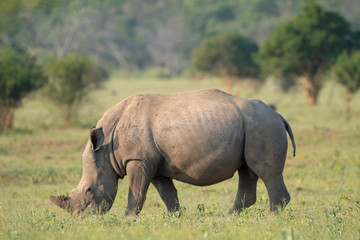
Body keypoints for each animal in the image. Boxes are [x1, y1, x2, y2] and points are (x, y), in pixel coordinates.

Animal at [50, 88, 296, 216]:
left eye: (89, 190)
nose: (81, 218)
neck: (108, 147)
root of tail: (278, 115)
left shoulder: (137, 159)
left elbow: (136, 191)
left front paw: (128, 218)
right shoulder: (154, 162)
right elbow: (166, 193)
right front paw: (175, 217)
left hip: (263, 125)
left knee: (266, 172)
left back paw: (272, 218)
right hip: (251, 127)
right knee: (247, 171)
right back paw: (229, 218)